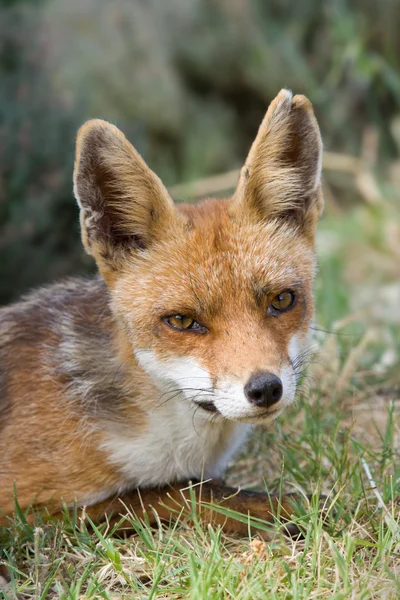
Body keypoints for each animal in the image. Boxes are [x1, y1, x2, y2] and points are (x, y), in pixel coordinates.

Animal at [0, 90, 324, 540]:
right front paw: (274, 507)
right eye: (182, 321)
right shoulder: (27, 514)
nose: (265, 389)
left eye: (281, 300)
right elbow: (177, 493)